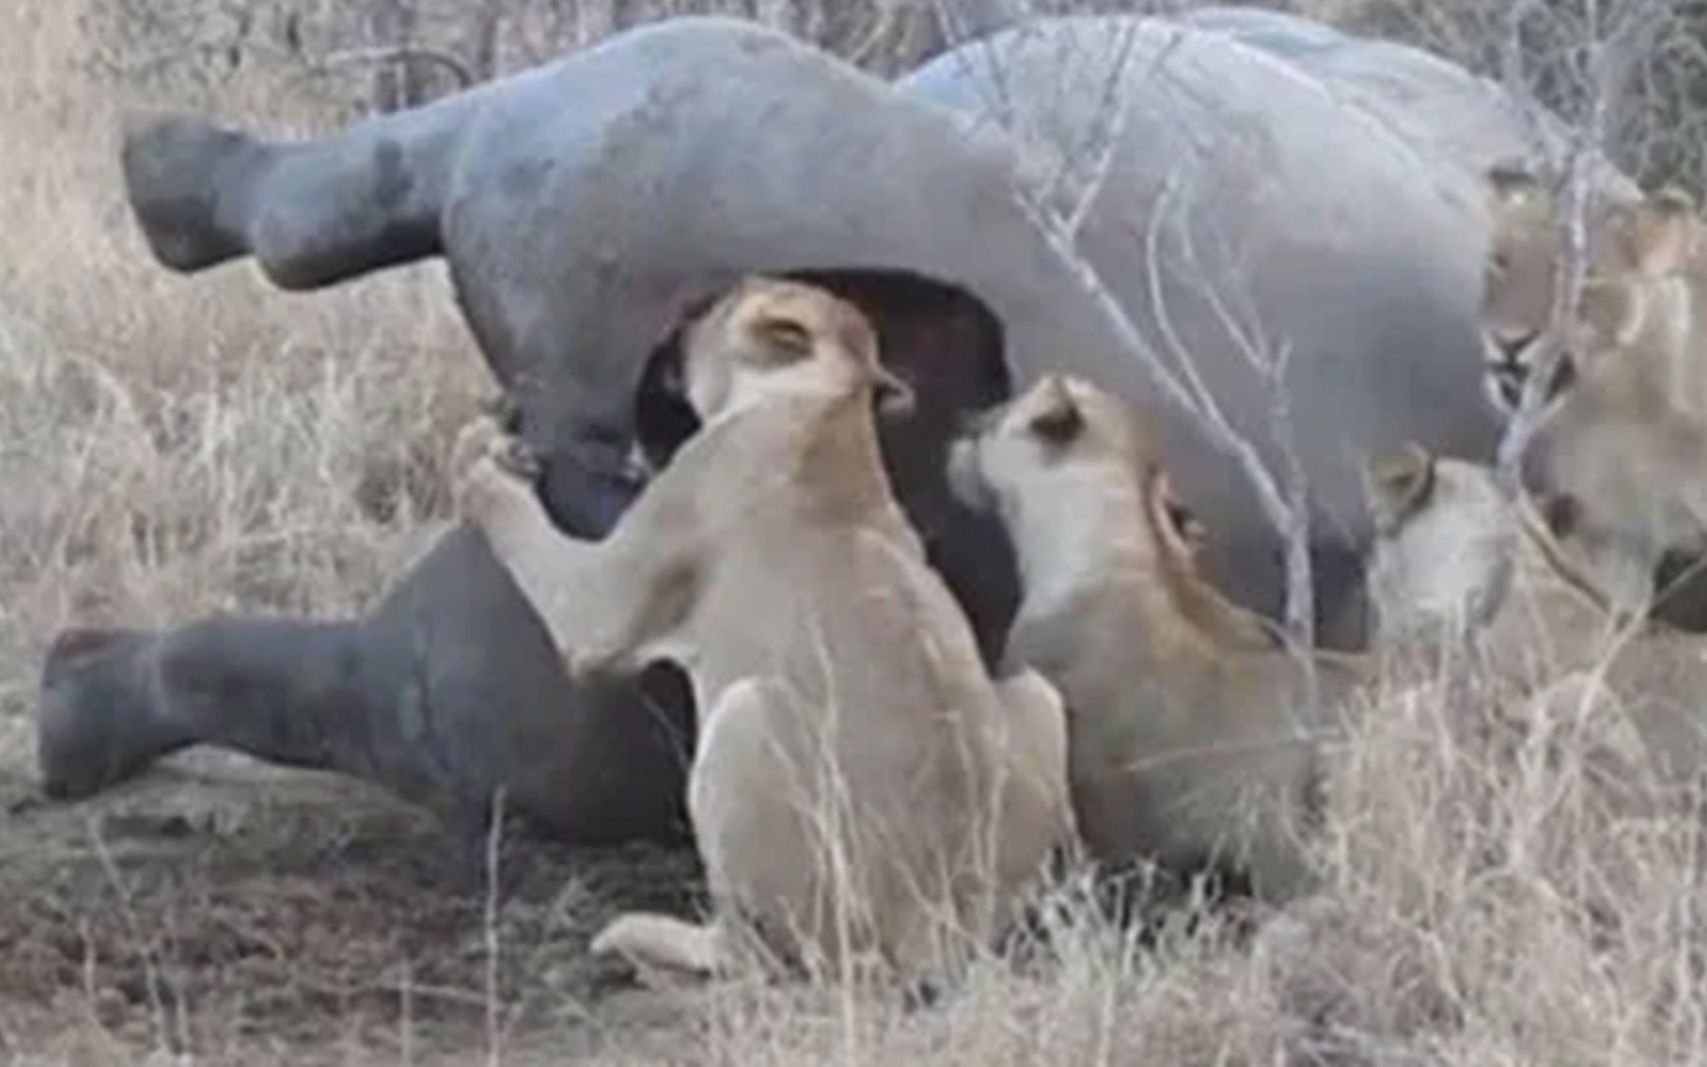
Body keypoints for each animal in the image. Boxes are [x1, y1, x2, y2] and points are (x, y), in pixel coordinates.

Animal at [454, 276, 1065, 990]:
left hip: (745, 718)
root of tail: (938, 922)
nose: (681, 318)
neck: (830, 406)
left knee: (755, 955)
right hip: (1037, 695)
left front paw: (478, 451)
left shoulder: (604, 608)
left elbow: (520, 528)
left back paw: (643, 938)